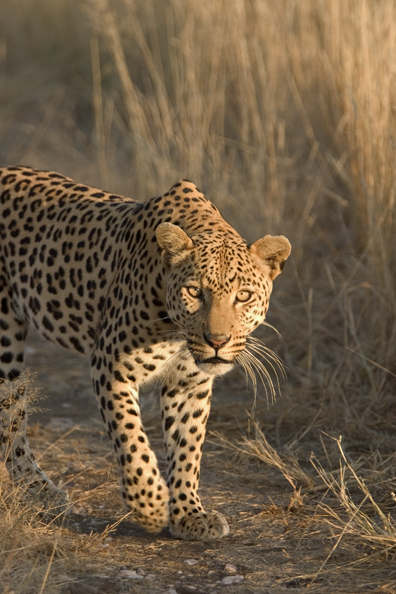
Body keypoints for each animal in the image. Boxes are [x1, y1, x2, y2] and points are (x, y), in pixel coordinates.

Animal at [0, 164, 290, 540]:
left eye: (243, 296)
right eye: (194, 292)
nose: (217, 340)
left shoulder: (189, 384)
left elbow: (187, 448)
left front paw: (188, 515)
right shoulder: (111, 366)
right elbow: (132, 439)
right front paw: (150, 506)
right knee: (12, 419)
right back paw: (41, 493)